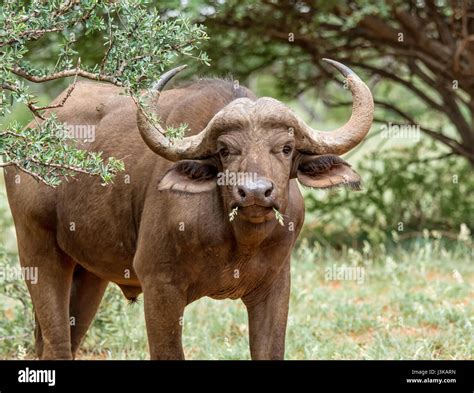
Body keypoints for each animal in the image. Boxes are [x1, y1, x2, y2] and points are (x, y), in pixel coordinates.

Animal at [3, 59, 374, 358]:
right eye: (225, 150)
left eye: (286, 147)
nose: (255, 192)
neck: (238, 241)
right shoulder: (161, 288)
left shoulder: (275, 287)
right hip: (38, 253)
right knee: (56, 344)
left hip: (90, 274)